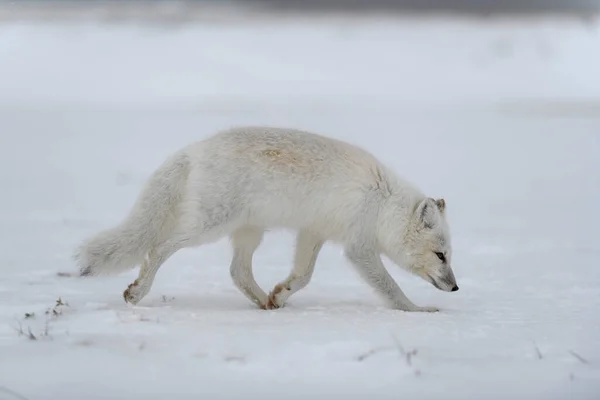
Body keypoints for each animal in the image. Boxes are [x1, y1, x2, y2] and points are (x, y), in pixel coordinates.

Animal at [75, 126, 460, 310]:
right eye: (440, 255)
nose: (455, 287)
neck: (383, 203)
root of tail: (194, 149)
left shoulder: (313, 232)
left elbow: (303, 276)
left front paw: (281, 294)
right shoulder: (359, 248)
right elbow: (391, 287)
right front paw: (417, 311)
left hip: (249, 232)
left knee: (238, 272)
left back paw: (265, 303)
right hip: (209, 227)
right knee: (157, 249)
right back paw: (138, 292)